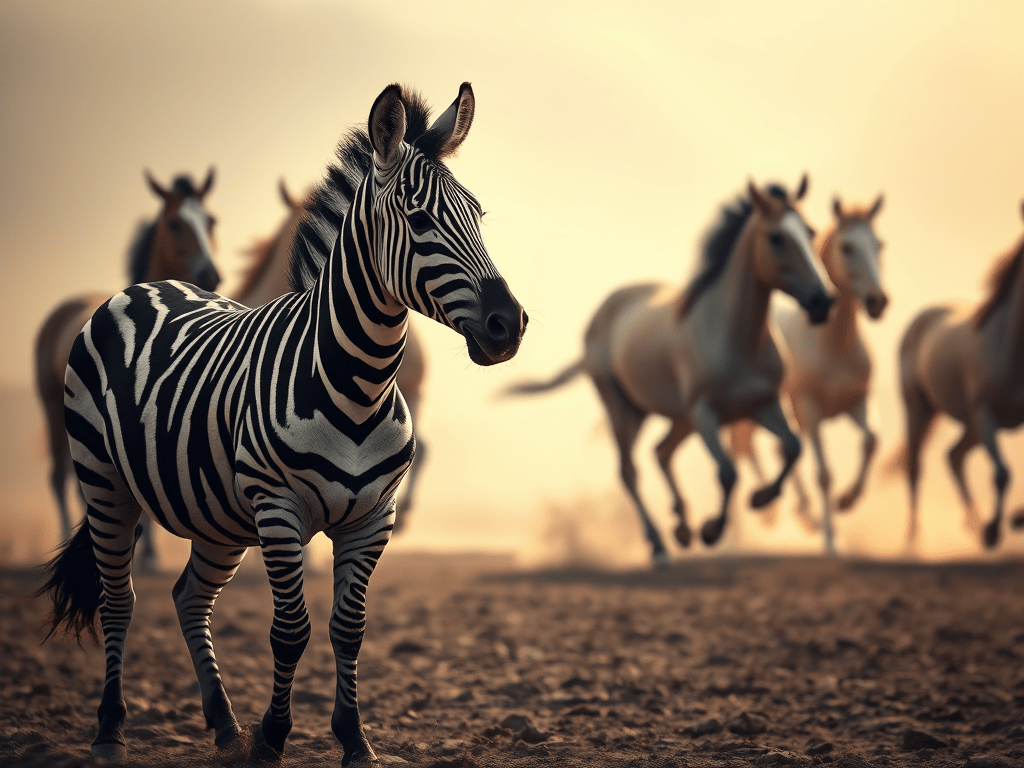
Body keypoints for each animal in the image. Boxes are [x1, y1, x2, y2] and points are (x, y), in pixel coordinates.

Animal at [41, 82, 527, 766]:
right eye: (419, 219)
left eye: (477, 216)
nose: (509, 324)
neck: (358, 384)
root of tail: (146, 286)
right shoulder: (278, 509)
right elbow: (290, 630)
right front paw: (272, 738)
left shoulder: (373, 518)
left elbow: (349, 628)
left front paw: (354, 740)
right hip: (105, 481)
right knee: (119, 601)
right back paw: (111, 732)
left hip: (215, 513)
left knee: (190, 598)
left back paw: (223, 726)